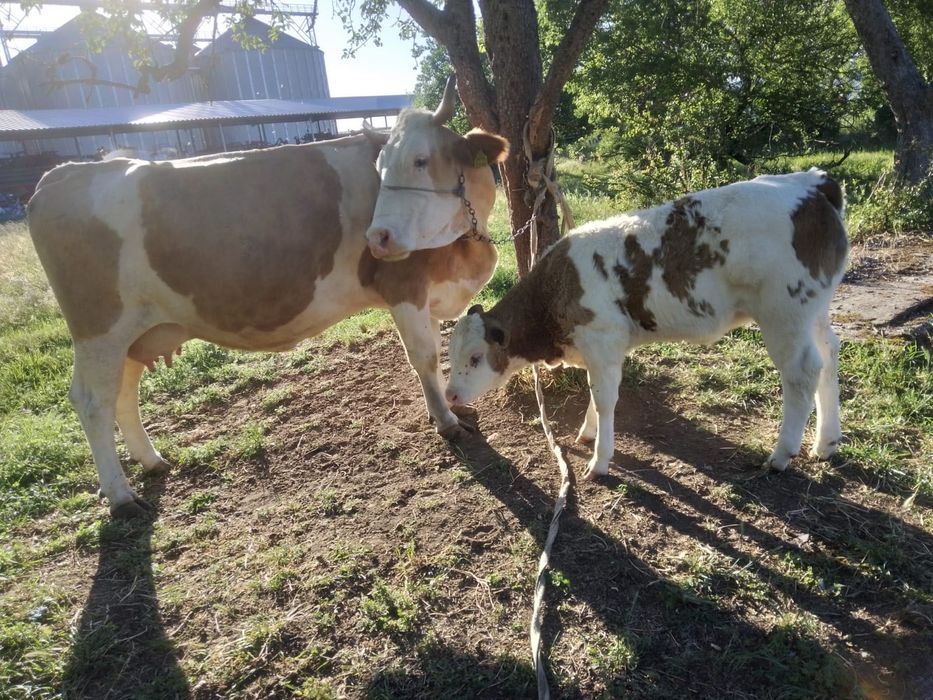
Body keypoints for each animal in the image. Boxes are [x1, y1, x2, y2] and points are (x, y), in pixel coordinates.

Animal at [27, 79, 509, 519]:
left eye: (421, 160)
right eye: (381, 168)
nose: (378, 238)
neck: (466, 247)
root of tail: (62, 174)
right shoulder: (404, 287)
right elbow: (424, 357)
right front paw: (447, 422)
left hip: (134, 331)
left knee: (123, 394)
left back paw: (151, 461)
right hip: (100, 328)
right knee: (93, 401)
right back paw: (121, 495)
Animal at [445, 169, 848, 480]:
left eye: (476, 357)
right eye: (451, 355)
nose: (450, 395)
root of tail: (812, 183)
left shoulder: (601, 341)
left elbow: (605, 400)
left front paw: (600, 460)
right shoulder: (602, 350)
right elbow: (596, 395)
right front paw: (588, 433)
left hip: (784, 312)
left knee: (802, 372)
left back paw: (781, 454)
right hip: (813, 311)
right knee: (829, 353)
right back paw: (825, 441)